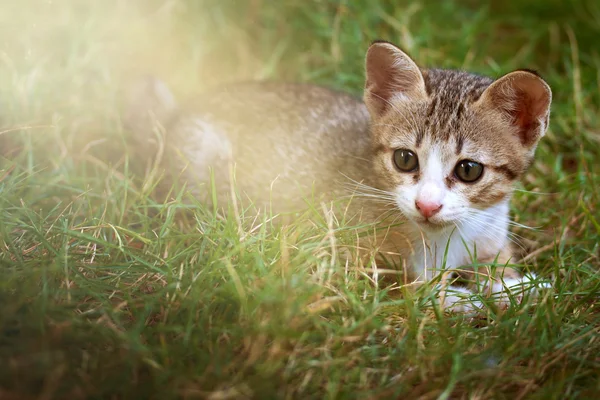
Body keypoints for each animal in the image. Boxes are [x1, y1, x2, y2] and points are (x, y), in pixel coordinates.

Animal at [124, 39, 552, 310]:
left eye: (468, 169)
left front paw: (519, 287)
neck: (450, 238)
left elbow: (500, 266)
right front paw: (469, 298)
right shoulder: (353, 258)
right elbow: (418, 292)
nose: (427, 206)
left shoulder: (492, 232)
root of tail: (179, 112)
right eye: (405, 160)